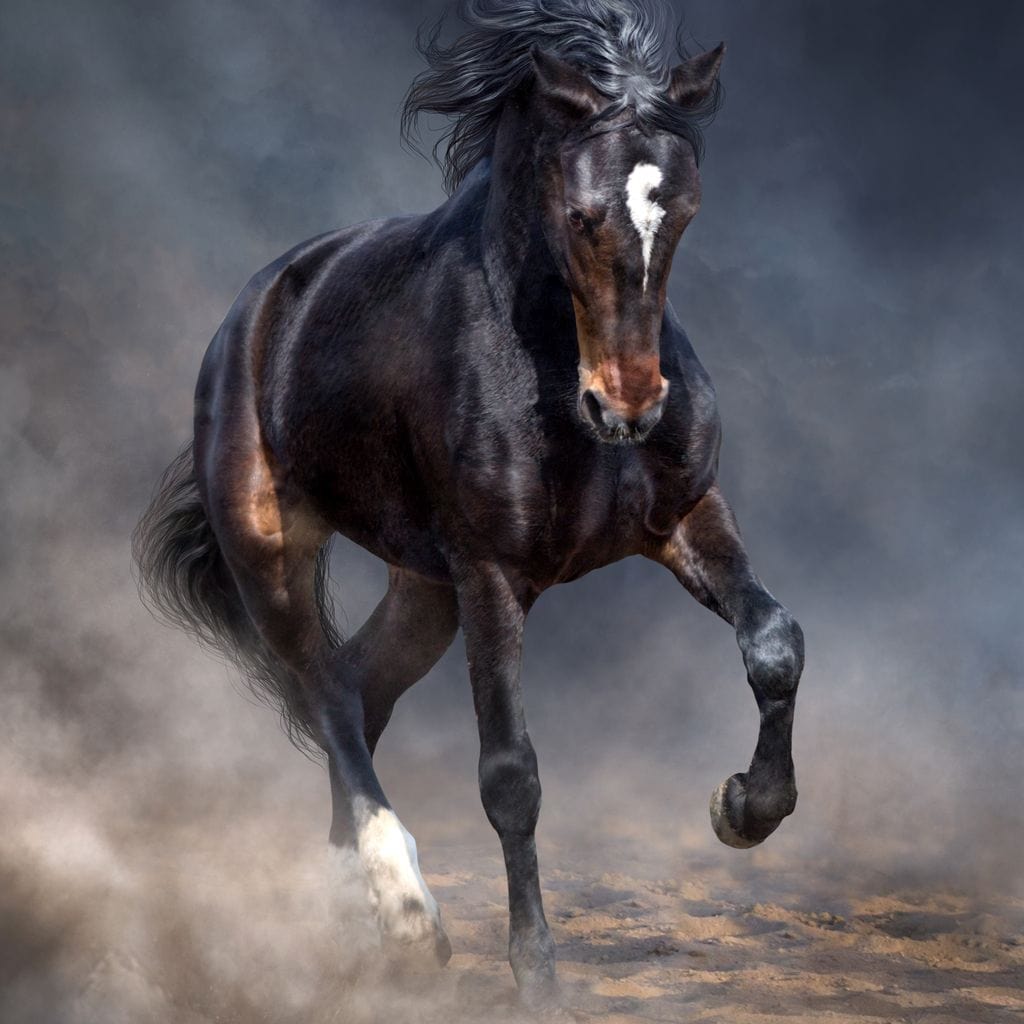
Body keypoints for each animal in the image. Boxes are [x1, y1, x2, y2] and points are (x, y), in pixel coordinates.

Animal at [133, 0, 804, 1009]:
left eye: (685, 209)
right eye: (581, 214)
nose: (628, 406)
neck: (551, 369)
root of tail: (254, 312)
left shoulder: (685, 518)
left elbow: (772, 644)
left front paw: (742, 807)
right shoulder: (489, 572)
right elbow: (510, 775)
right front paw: (539, 979)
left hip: (423, 590)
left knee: (356, 690)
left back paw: (350, 915)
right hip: (273, 552)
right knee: (324, 694)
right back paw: (407, 914)